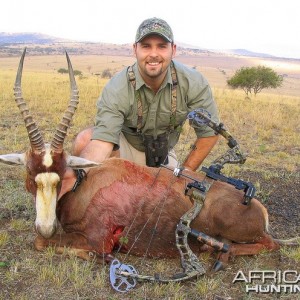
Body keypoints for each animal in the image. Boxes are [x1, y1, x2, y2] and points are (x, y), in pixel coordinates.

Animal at [0, 49, 296, 270]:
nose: (46, 227)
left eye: (61, 176)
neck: (84, 186)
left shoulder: (96, 239)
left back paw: (221, 253)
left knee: (269, 244)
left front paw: (99, 256)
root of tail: (257, 206)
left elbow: (41, 243)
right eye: (30, 175)